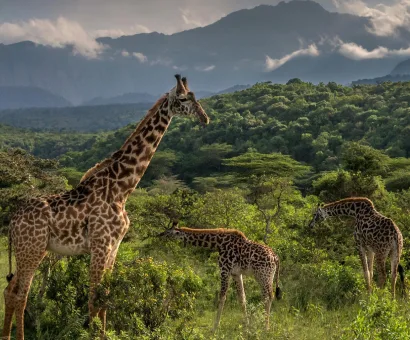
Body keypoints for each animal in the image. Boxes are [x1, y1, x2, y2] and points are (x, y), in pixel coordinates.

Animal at [2, 75, 208, 340]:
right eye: (183, 99)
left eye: (195, 97)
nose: (204, 118)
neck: (121, 189)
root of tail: (12, 221)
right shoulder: (101, 244)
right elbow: (93, 299)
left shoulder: (114, 246)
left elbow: (105, 297)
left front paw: (102, 334)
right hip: (32, 249)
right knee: (21, 294)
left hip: (30, 249)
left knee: (10, 290)